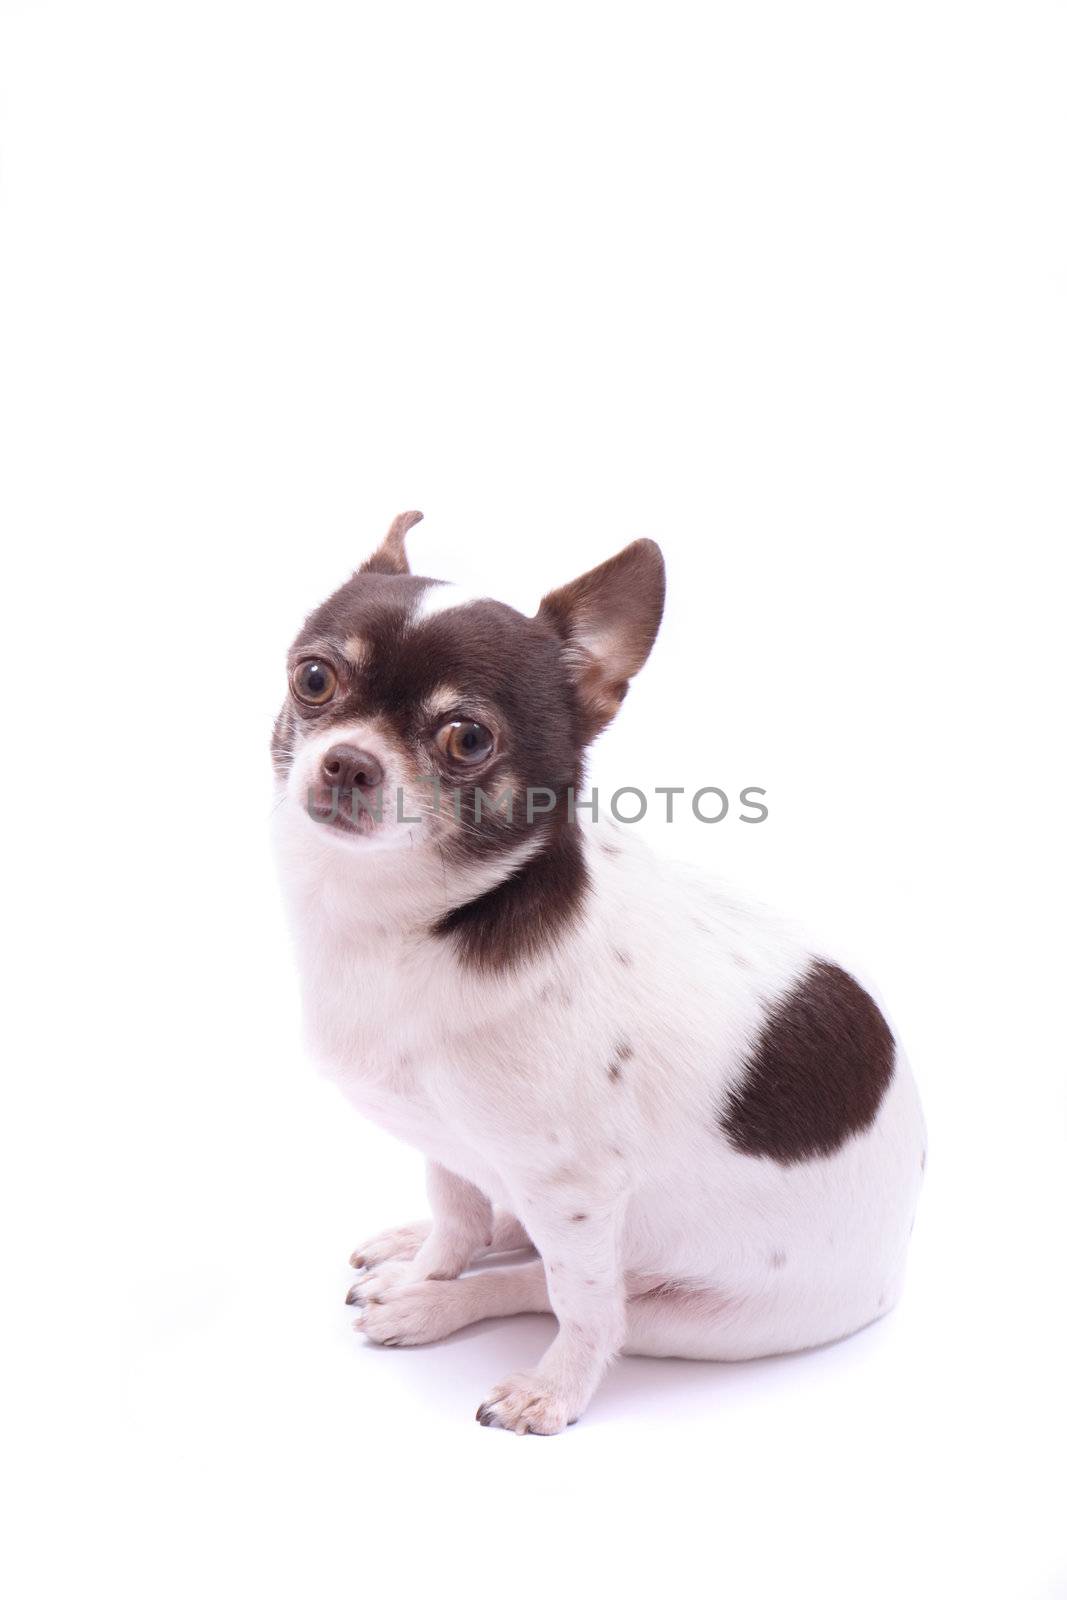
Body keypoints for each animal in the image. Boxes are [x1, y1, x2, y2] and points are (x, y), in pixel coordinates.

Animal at [268, 515, 927, 1440]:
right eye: (314, 678)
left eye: (467, 738)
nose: (347, 763)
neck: (412, 924)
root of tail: (899, 1253)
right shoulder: (447, 1143)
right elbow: (456, 1217)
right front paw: (429, 1268)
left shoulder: (574, 1190)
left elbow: (578, 1305)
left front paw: (553, 1388)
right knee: (507, 1236)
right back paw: (416, 1268)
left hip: (697, 1319)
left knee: (572, 1294)